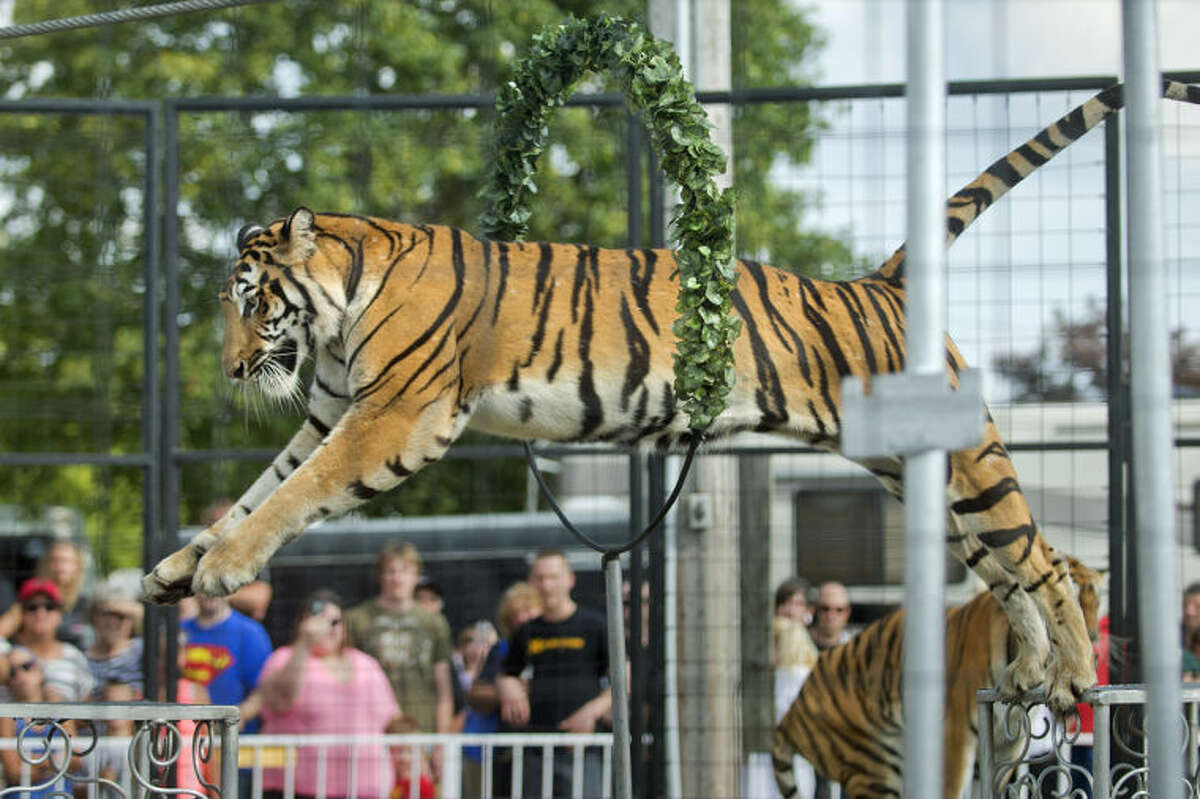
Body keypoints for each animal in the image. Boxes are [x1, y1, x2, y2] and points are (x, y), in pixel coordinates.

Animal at [142, 77, 1200, 705]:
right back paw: (1030, 671)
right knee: (1010, 568)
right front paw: (176, 569)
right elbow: (257, 489)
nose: (231, 369)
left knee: (1049, 561)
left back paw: (1070, 678)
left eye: (250, 301)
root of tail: (887, 280)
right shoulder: (331, 412)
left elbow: (294, 495)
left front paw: (221, 570)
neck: (334, 311)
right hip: (923, 475)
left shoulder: (393, 415)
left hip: (970, 465)